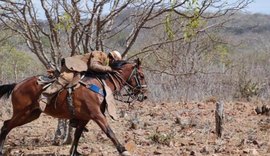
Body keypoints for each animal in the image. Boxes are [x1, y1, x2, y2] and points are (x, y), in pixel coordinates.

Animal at [0, 58, 147, 156]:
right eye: (141, 75)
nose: (144, 95)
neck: (99, 85)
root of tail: (17, 85)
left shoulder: (85, 118)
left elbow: (77, 135)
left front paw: (74, 152)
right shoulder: (97, 115)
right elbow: (109, 131)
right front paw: (123, 149)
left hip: (31, 114)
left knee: (6, 124)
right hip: (22, 113)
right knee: (6, 126)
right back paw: (1, 150)